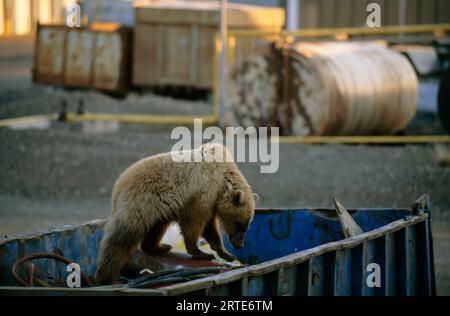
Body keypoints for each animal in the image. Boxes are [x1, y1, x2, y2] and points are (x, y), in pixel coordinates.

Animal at [93, 144, 258, 286]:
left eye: (247, 225)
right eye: (240, 224)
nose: (239, 245)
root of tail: (119, 184)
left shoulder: (210, 200)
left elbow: (209, 226)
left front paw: (226, 254)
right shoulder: (202, 194)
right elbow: (195, 222)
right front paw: (202, 253)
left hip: (158, 208)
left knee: (156, 228)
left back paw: (160, 246)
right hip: (140, 202)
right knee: (120, 239)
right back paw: (106, 277)